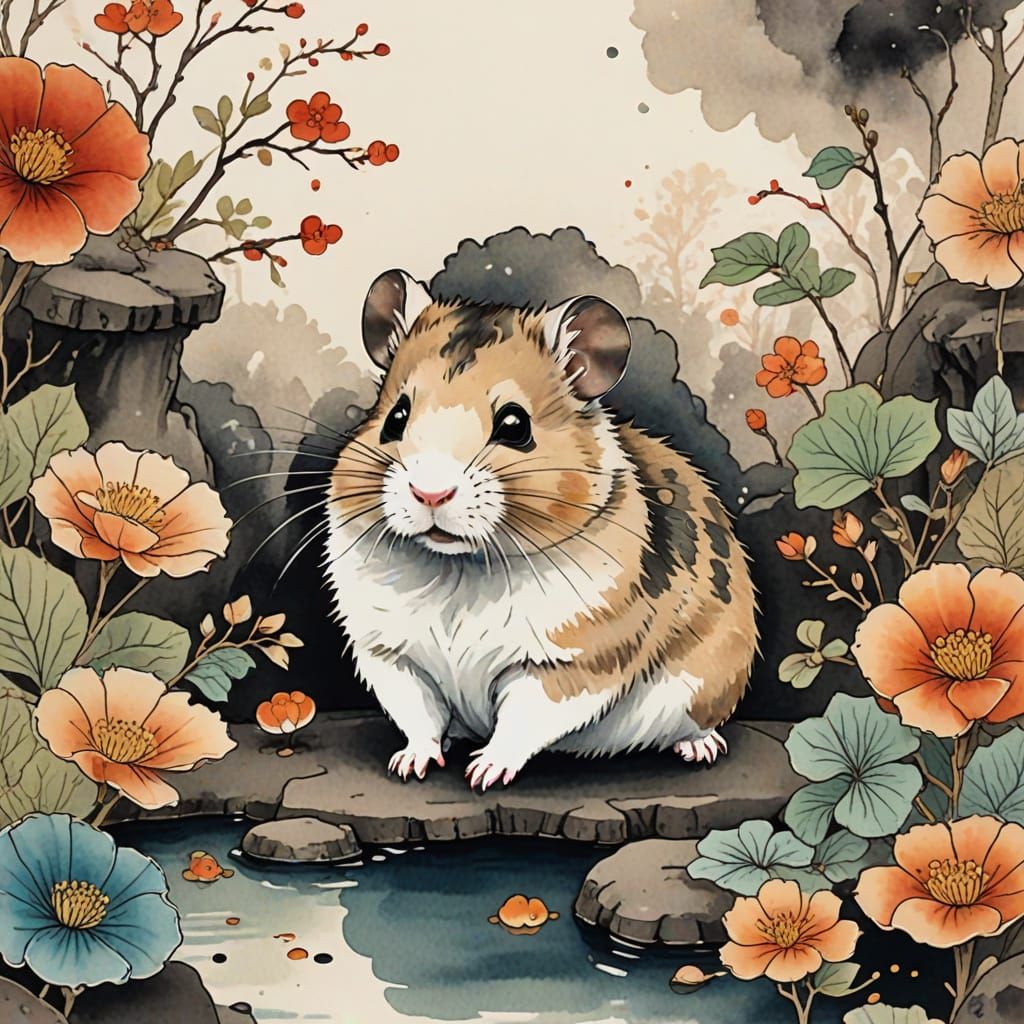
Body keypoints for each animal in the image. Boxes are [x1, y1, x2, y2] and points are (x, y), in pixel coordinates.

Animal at [324, 269, 758, 791]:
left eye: (514, 425)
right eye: (396, 418)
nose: (430, 494)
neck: (460, 566)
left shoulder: (572, 661)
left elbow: (523, 720)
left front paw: (483, 774)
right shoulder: (390, 654)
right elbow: (419, 714)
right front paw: (409, 765)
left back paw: (700, 748)